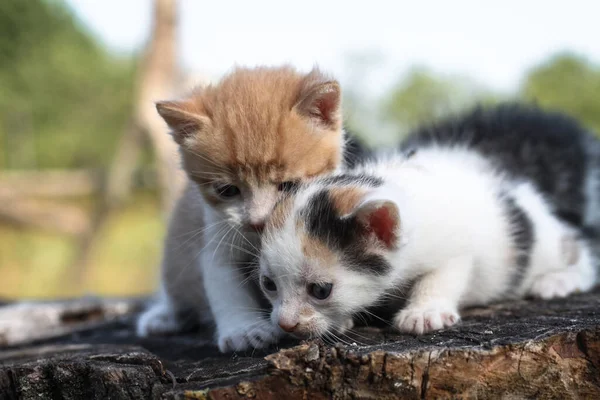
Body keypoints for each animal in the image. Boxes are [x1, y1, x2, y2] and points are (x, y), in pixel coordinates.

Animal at [134, 64, 366, 352]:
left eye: (288, 185)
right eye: (228, 190)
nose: (258, 220)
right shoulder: (217, 243)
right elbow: (226, 288)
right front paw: (243, 331)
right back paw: (163, 316)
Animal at [260, 145, 596, 336]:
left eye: (320, 290)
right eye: (268, 285)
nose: (285, 324)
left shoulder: (458, 249)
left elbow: (441, 276)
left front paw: (424, 313)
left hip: (548, 244)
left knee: (583, 252)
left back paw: (559, 280)